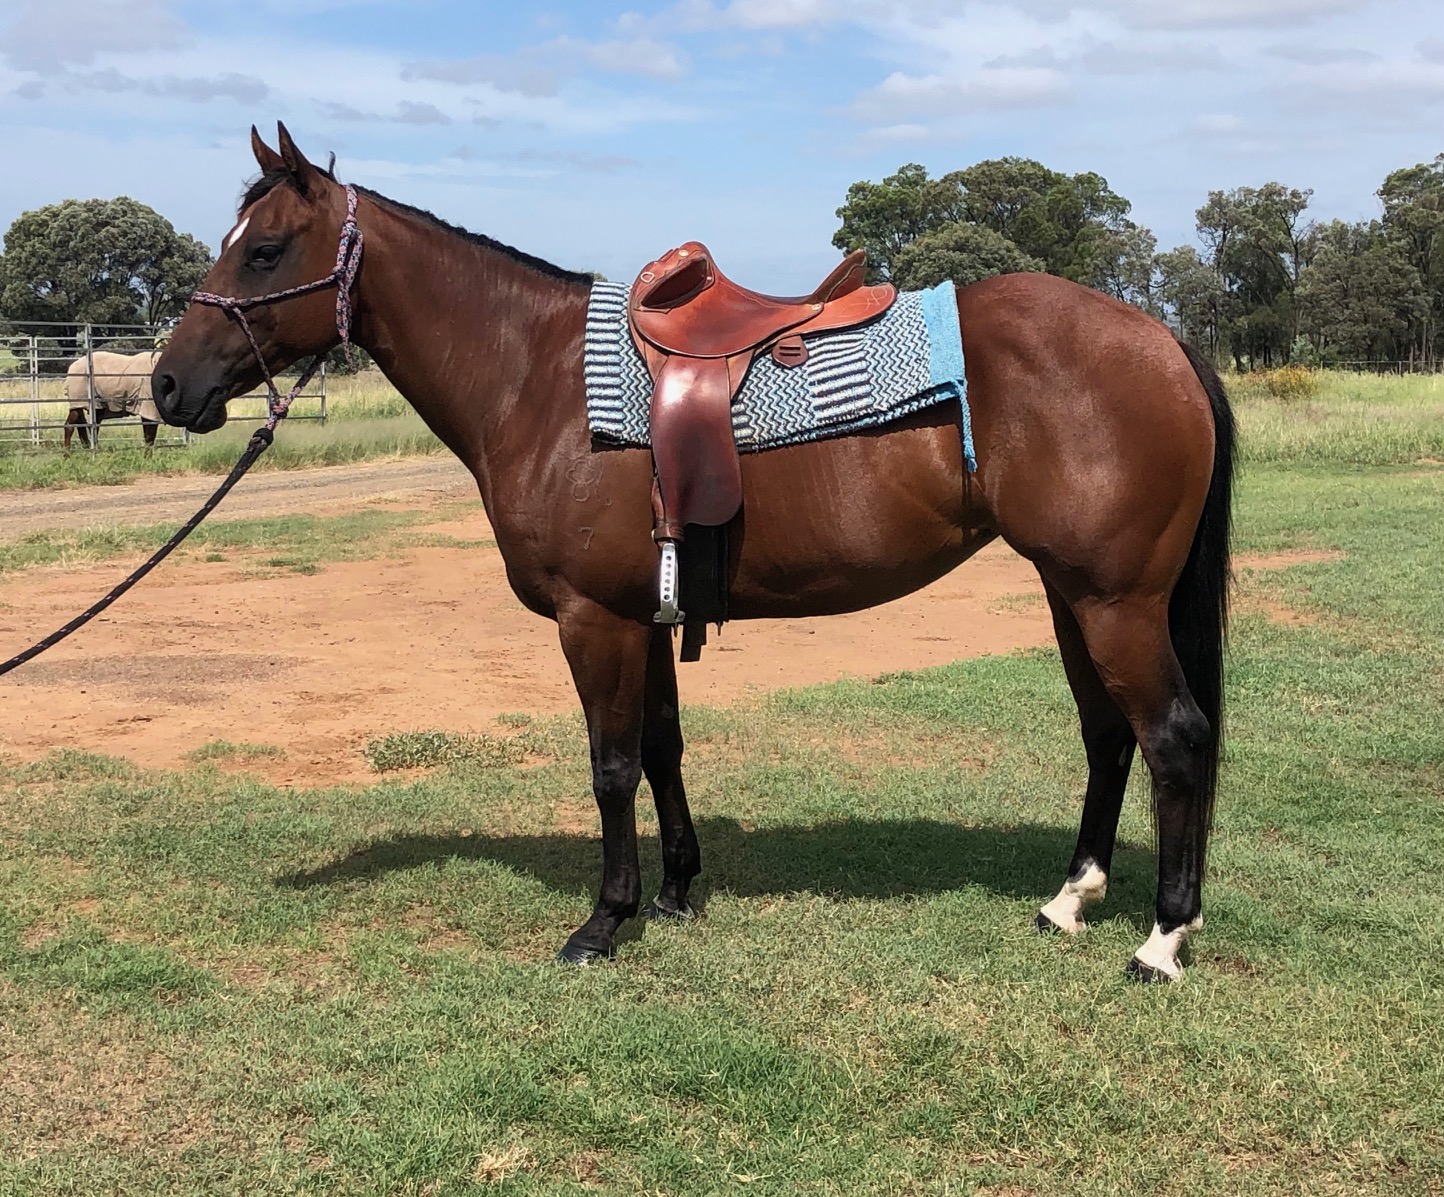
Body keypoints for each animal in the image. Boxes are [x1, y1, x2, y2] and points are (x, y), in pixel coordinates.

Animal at [152, 124, 1234, 981]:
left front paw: (604, 920)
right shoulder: (646, 612)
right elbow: (663, 748)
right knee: (1108, 735)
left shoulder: (595, 619)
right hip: (1072, 594)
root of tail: (1161, 340)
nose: (166, 386)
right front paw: (674, 890)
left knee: (1173, 736)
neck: (538, 380)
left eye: (266, 252)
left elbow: (610, 765)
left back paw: (1162, 939)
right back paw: (1070, 899)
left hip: (1113, 601)